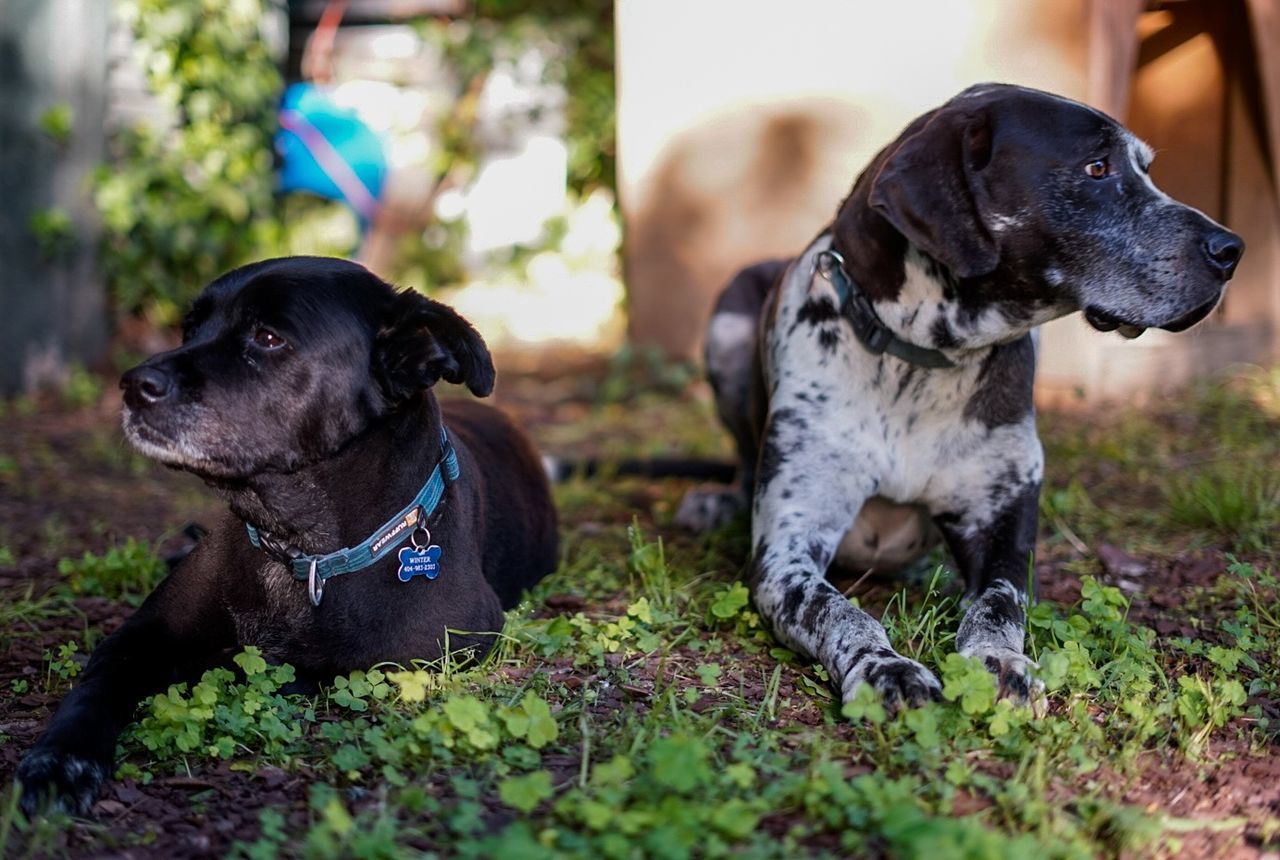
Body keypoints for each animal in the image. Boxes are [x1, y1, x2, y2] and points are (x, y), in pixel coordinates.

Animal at [13, 255, 555, 813]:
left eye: (268, 337)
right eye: (191, 329)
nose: (131, 384)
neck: (300, 549)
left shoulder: (427, 652)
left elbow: (284, 667)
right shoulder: (142, 634)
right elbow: (97, 683)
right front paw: (60, 760)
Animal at [680, 82, 1239, 711]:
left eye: (1146, 169)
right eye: (1097, 168)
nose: (1232, 249)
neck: (919, 363)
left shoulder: (1002, 533)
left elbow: (999, 604)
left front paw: (1000, 661)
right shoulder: (786, 553)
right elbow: (840, 611)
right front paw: (884, 668)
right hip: (728, 319)